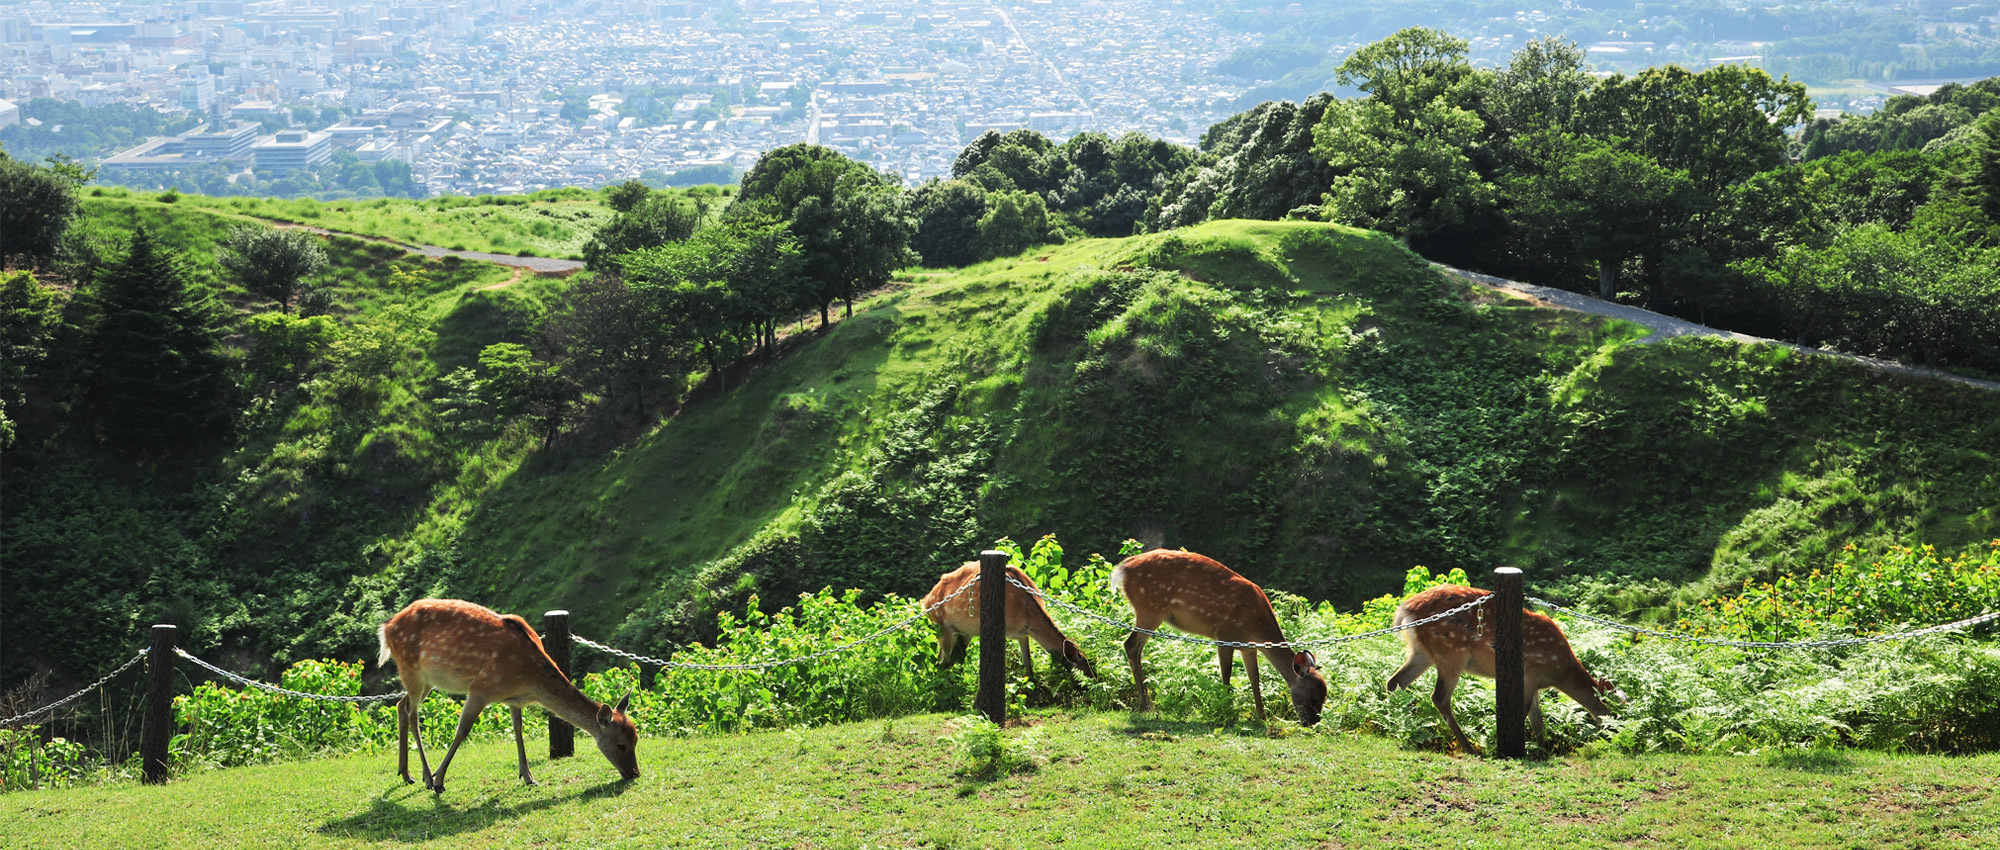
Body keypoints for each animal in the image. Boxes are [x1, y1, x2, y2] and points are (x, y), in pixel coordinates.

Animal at [376, 600, 640, 792]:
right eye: (621, 745)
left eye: (636, 739)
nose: (635, 773)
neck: (529, 679)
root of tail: (385, 629)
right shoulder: (481, 688)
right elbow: (462, 731)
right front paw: (439, 779)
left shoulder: (513, 699)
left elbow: (518, 729)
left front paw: (529, 776)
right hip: (410, 669)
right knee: (412, 714)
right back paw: (427, 777)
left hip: (427, 681)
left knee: (400, 705)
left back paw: (406, 774)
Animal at [920, 564, 1096, 684]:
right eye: (1082, 665)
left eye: (1091, 661)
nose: (1095, 679)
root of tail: (925, 600)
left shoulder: (1024, 633)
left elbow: (1028, 663)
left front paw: (1034, 685)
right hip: (941, 625)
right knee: (942, 662)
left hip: (964, 632)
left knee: (955, 658)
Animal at [1112, 548, 1328, 724]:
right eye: (1313, 698)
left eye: (1324, 697)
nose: (1312, 722)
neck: (1256, 626)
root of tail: (1122, 568)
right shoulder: (1224, 634)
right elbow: (1226, 675)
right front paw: (1227, 711)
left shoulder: (1248, 647)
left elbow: (1254, 679)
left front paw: (1261, 716)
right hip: (1150, 608)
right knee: (1131, 645)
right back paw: (1146, 705)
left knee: (1135, 648)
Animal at [1392, 584, 1624, 748]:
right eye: (1614, 712)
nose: (1617, 733)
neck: (1559, 670)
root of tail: (1405, 609)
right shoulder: (1531, 671)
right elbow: (1525, 712)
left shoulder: (1536, 682)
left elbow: (1537, 719)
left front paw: (1543, 750)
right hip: (1452, 651)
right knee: (1439, 697)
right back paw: (1469, 747)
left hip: (1422, 652)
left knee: (1395, 682)